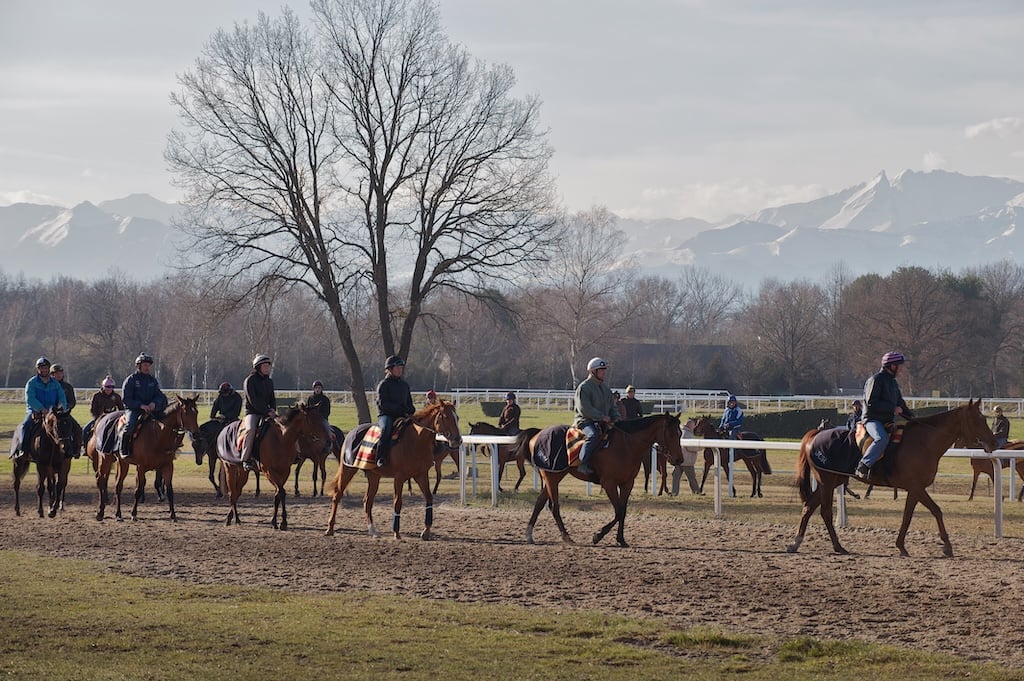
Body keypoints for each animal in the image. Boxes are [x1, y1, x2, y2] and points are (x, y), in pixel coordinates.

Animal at [325, 400, 462, 539]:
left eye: (457, 417)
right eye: (446, 417)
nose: (458, 440)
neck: (415, 441)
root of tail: (352, 432)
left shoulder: (421, 475)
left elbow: (429, 498)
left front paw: (426, 531)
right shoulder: (399, 477)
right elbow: (397, 502)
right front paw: (396, 532)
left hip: (374, 476)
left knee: (367, 501)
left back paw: (373, 531)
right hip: (347, 469)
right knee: (337, 495)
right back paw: (330, 528)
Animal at [516, 413, 686, 547]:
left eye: (680, 434)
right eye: (671, 434)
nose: (679, 459)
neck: (627, 445)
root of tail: (538, 433)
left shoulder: (627, 484)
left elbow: (623, 511)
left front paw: (621, 539)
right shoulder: (609, 483)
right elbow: (618, 511)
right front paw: (598, 536)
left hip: (555, 475)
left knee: (540, 503)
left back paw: (529, 535)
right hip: (551, 476)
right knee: (554, 506)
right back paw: (567, 537)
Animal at [787, 399, 997, 557]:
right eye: (978, 419)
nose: (993, 441)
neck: (924, 442)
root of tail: (815, 434)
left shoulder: (914, 489)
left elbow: (907, 516)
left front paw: (901, 546)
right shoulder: (917, 487)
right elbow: (936, 510)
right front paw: (947, 546)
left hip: (832, 481)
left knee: (809, 507)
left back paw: (797, 543)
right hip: (827, 480)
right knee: (825, 512)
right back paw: (837, 546)